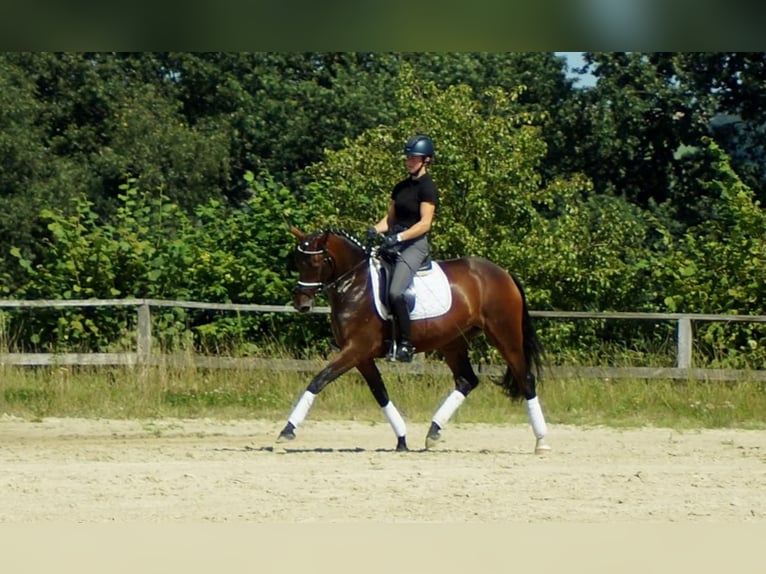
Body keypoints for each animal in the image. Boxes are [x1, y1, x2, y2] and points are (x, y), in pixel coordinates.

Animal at [278, 227, 552, 456]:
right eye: (298, 261)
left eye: (315, 261)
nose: (301, 303)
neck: (354, 284)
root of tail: (503, 273)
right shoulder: (362, 356)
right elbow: (380, 393)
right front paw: (401, 439)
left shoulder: (356, 349)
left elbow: (318, 380)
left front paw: (288, 430)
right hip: (453, 342)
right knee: (467, 380)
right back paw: (433, 433)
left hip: (505, 335)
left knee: (525, 379)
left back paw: (542, 441)